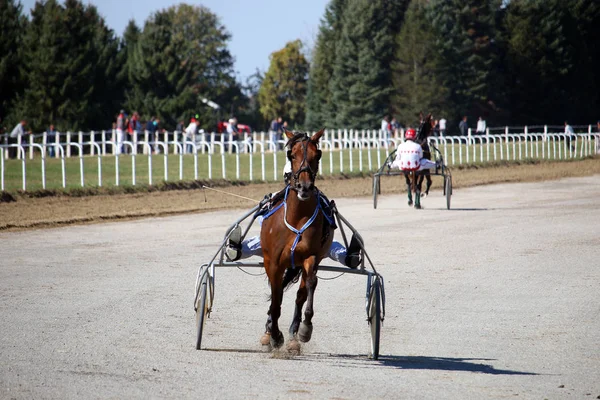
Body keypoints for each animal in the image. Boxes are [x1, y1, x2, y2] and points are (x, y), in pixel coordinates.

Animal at [258, 128, 332, 350]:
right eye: (292, 154)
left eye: (318, 155)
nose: (304, 187)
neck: (296, 218)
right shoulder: (273, 262)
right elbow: (276, 298)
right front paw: (274, 334)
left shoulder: (311, 256)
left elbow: (310, 284)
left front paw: (305, 328)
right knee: (279, 293)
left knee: (301, 293)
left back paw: (294, 333)